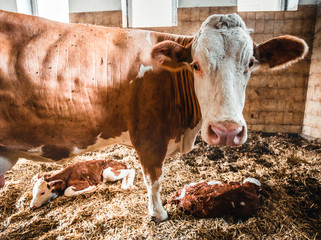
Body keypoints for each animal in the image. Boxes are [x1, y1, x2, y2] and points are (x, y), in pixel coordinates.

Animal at [0, 11, 306, 221]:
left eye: (251, 63)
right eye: (196, 64)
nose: (227, 132)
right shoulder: (149, 137)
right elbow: (154, 180)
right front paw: (158, 214)